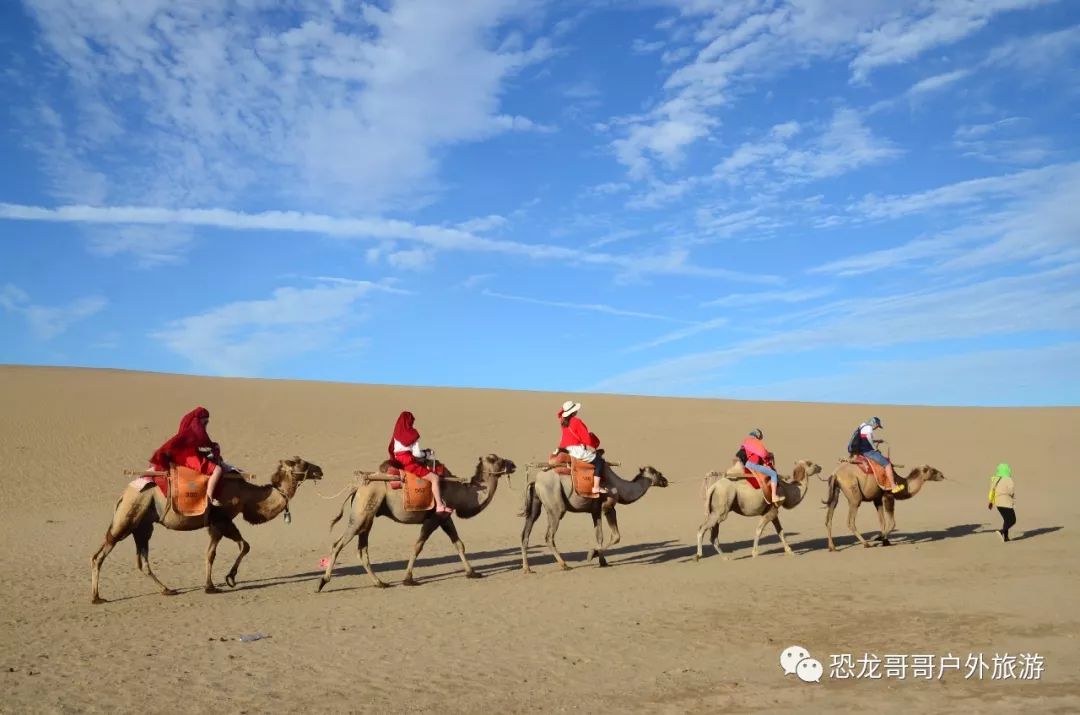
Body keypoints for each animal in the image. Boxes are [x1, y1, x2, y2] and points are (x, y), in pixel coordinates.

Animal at [89, 460, 319, 604]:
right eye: (302, 463)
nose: (320, 469)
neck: (248, 496)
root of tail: (123, 494)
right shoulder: (222, 518)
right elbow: (244, 546)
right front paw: (229, 578)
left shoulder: (214, 524)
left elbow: (211, 553)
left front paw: (210, 585)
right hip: (129, 515)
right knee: (100, 553)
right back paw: (96, 597)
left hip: (143, 525)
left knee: (142, 561)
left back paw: (167, 589)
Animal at [315, 455, 514, 591]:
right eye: (494, 458)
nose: (513, 464)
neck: (459, 492)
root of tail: (357, 486)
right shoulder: (435, 517)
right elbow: (418, 546)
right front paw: (408, 579)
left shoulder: (445, 517)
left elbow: (459, 544)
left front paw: (472, 573)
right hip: (362, 512)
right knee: (338, 544)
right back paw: (322, 582)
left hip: (367, 517)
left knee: (362, 549)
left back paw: (380, 582)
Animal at [516, 462, 665, 574]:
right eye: (656, 473)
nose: (665, 481)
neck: (620, 488)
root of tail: (535, 482)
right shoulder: (608, 508)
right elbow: (616, 536)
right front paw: (591, 554)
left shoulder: (595, 511)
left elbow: (599, 536)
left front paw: (602, 561)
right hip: (555, 507)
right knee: (549, 536)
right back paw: (564, 565)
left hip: (536, 504)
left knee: (526, 533)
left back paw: (527, 569)